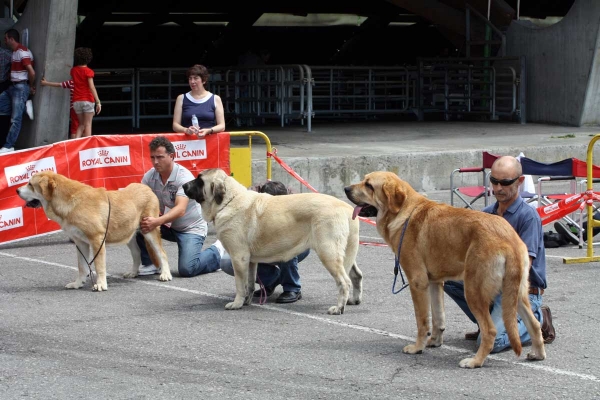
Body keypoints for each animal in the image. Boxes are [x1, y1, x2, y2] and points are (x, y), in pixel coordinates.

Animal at [16, 170, 171, 290]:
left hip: (149, 231)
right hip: (129, 236)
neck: (69, 201)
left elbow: (99, 265)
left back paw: (165, 274)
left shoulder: (97, 239)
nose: (17, 190)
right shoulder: (80, 242)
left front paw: (101, 284)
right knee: (137, 254)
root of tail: (147, 188)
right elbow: (82, 266)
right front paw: (78, 283)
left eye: (30, 184)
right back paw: (133, 272)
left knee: (162, 253)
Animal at [182, 167, 360, 314]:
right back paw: (354, 300)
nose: (183, 186)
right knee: (356, 275)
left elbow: (240, 284)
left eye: (199, 180)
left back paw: (339, 308)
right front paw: (246, 300)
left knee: (344, 281)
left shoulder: (238, 257)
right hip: (344, 253)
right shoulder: (250, 261)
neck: (229, 200)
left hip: (328, 252)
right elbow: (249, 283)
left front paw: (237, 303)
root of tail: (346, 208)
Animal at [342, 172, 544, 368]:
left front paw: (417, 347)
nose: (345, 189)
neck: (404, 212)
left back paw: (475, 362)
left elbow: (422, 321)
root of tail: (508, 238)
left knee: (490, 331)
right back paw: (537, 354)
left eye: (369, 185)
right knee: (534, 324)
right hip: (516, 294)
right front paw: (434, 341)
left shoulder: (418, 283)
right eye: (364, 180)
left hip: (474, 291)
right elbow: (438, 318)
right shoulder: (435, 282)